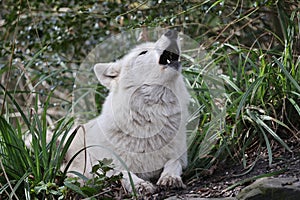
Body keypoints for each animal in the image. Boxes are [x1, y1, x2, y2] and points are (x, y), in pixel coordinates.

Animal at [66, 30, 190, 195]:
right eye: (143, 52)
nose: (172, 32)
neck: (151, 117)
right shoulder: (105, 167)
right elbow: (123, 172)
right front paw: (140, 185)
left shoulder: (180, 157)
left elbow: (173, 163)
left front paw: (170, 178)